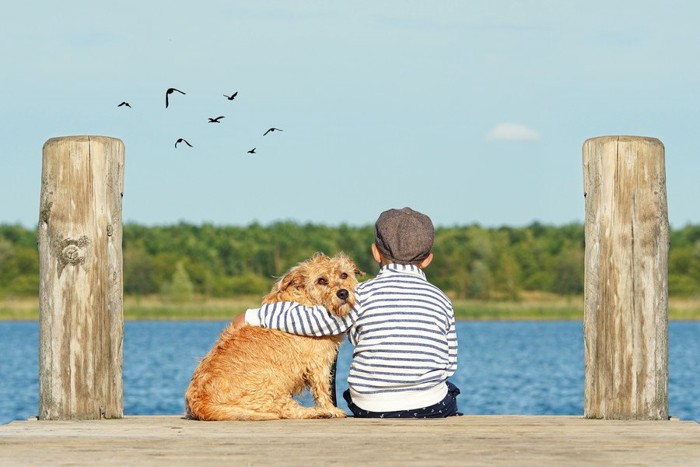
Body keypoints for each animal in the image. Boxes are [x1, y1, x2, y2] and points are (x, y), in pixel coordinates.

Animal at [183, 254, 364, 422]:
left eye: (344, 275)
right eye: (321, 280)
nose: (343, 293)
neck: (306, 298)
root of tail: (201, 405)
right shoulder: (318, 365)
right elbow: (323, 390)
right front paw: (331, 408)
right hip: (273, 389)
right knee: (288, 411)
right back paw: (319, 412)